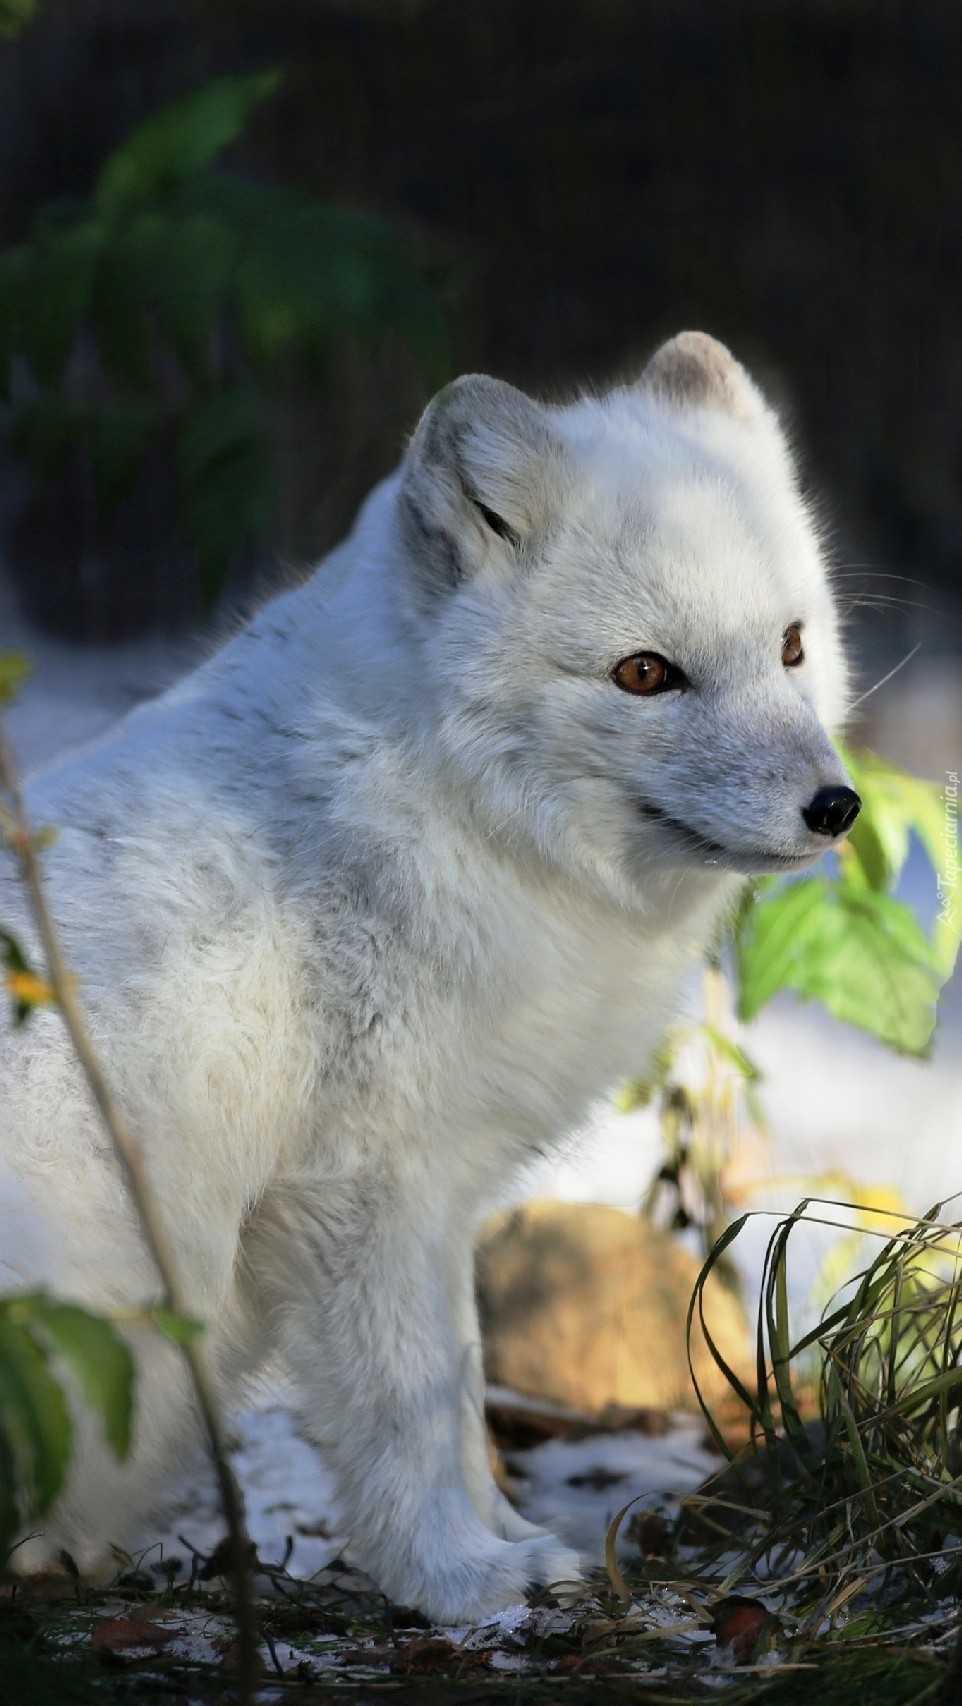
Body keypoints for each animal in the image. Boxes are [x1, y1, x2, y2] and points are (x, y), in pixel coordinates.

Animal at [0, 336, 856, 1624]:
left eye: (791, 645)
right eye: (643, 672)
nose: (833, 804)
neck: (438, 804)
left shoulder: (441, 1194)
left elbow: (457, 1396)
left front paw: (507, 1543)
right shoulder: (365, 1189)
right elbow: (408, 1414)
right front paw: (456, 1577)